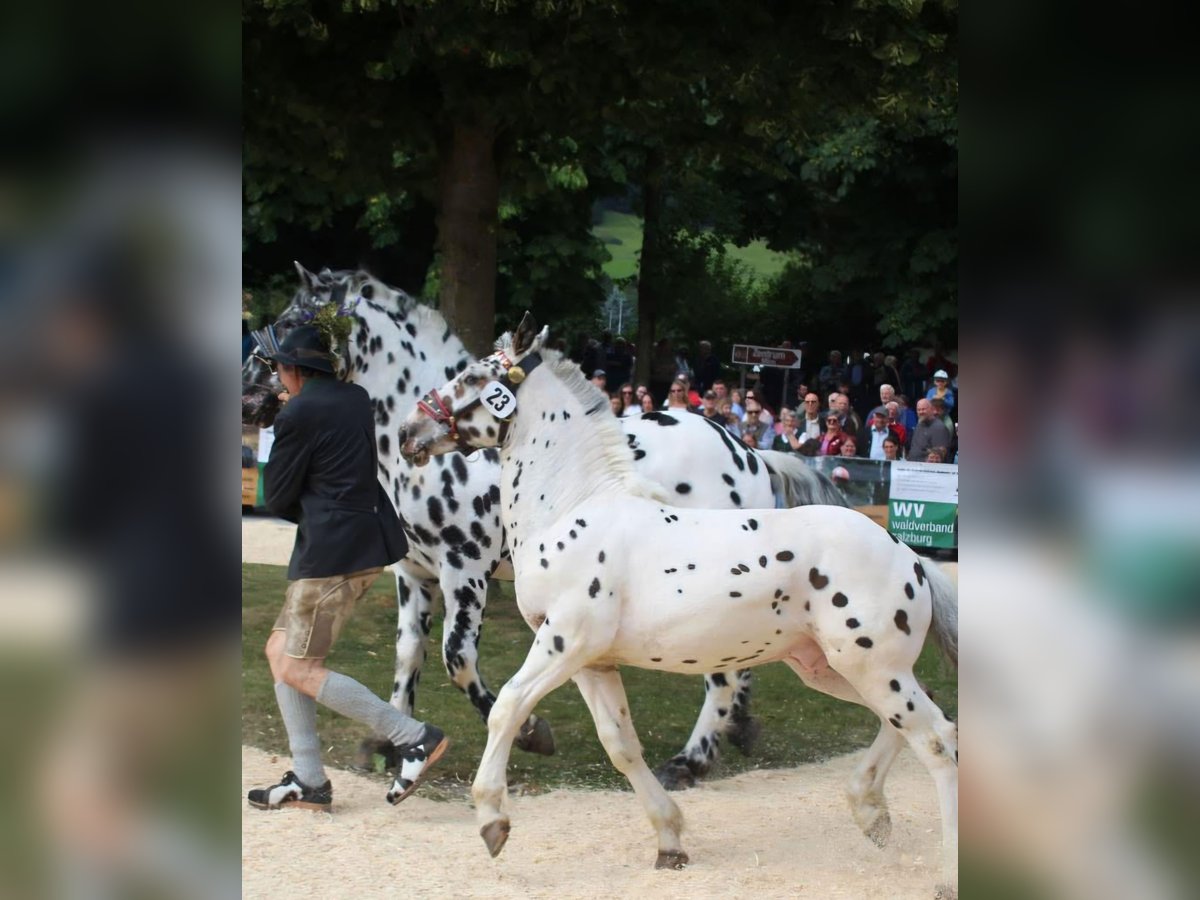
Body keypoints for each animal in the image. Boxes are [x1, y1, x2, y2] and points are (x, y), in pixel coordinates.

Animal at [242, 264, 848, 789]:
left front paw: (531, 732)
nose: (248, 397)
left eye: (292, 323)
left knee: (723, 675)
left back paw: (692, 759)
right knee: (738, 664)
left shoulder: (466, 572)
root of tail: (746, 451)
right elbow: (408, 655)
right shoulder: (414, 575)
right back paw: (736, 731)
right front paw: (391, 744)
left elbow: (458, 661)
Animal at [397, 313, 958, 898]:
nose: (408, 433)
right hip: (830, 668)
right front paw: (670, 841)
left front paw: (492, 821)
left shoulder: (563, 641)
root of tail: (908, 554)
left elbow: (507, 707)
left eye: (471, 378)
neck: (573, 507)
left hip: (871, 667)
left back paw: (944, 871)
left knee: (938, 740)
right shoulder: (592, 663)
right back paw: (871, 814)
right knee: (920, 719)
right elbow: (620, 744)